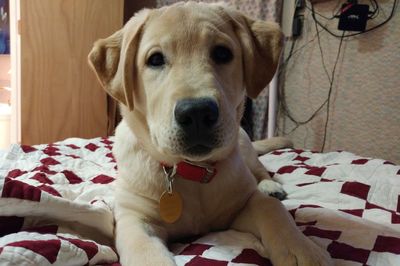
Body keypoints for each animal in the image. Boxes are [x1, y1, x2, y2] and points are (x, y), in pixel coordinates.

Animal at [89, 1, 332, 264]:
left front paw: (301, 249)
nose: (197, 113)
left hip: (244, 147)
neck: (193, 172)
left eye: (222, 53)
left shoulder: (242, 204)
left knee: (260, 173)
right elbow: (145, 251)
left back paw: (270, 187)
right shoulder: (133, 217)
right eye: (155, 59)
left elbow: (271, 209)